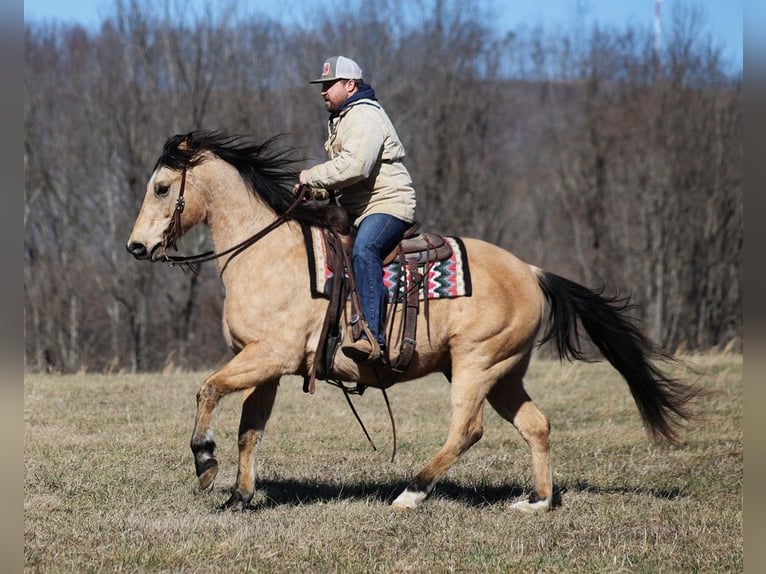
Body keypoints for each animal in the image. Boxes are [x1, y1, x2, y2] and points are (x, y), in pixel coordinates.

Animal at [127, 130, 708, 512]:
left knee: (467, 429)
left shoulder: (267, 356)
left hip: (475, 364)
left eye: (161, 187)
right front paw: (242, 496)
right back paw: (537, 502)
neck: (267, 252)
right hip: (504, 372)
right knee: (536, 424)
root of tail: (532, 271)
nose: (136, 247)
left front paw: (205, 462)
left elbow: (207, 391)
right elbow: (250, 429)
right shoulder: (265, 364)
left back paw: (410, 492)